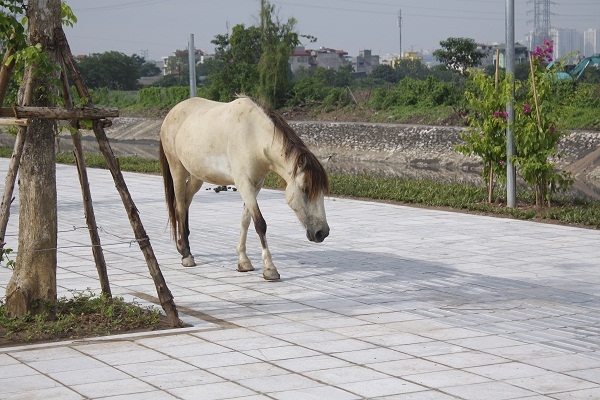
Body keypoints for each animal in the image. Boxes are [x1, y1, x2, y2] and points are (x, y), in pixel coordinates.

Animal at [157, 95, 330, 280]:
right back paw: (186, 255)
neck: (254, 136)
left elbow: (245, 220)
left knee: (185, 202)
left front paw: (243, 261)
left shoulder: (255, 185)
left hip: (197, 175)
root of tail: (172, 112)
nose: (322, 232)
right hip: (177, 169)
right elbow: (260, 223)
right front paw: (269, 268)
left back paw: (182, 245)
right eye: (305, 188)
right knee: (180, 206)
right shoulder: (243, 183)